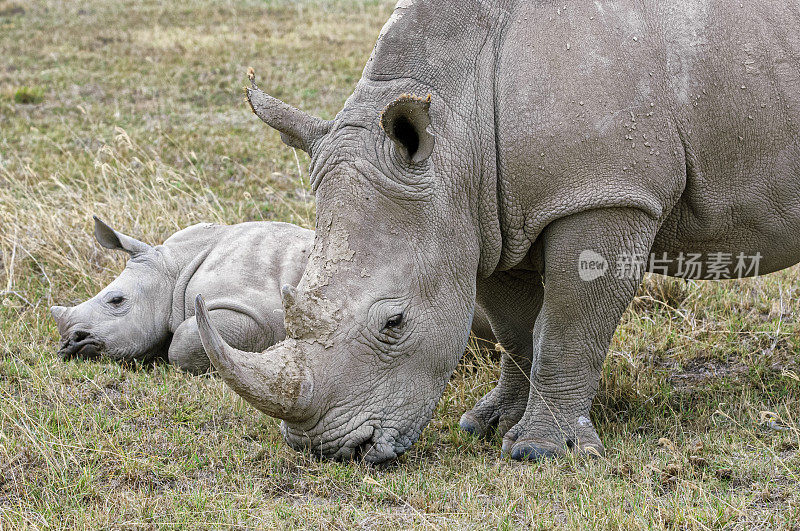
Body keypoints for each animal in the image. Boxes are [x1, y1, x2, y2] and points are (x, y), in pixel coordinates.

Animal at [194, 0, 800, 464]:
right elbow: (514, 327)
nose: (324, 449)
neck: (455, 127)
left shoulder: (606, 193)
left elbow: (567, 329)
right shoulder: (481, 214)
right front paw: (489, 424)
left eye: (394, 322)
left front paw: (540, 451)